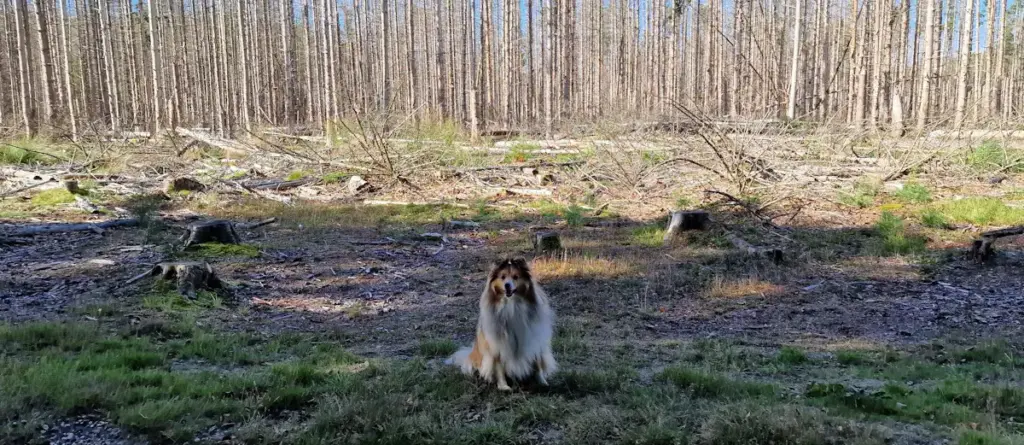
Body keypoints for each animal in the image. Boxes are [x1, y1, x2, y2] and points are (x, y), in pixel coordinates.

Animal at [444, 257, 557, 390]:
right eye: (502, 277)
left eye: (515, 277)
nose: (507, 285)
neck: (512, 304)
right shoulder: (497, 345)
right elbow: (499, 368)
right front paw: (503, 386)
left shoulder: (534, 339)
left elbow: (537, 364)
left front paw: (542, 382)